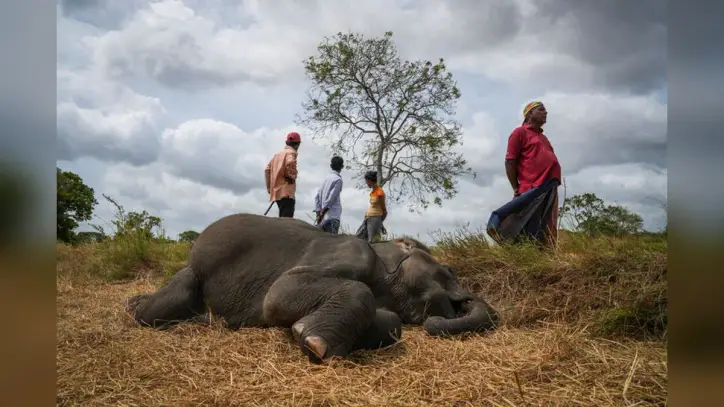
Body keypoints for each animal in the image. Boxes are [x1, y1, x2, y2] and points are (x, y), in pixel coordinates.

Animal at [124, 213, 500, 363]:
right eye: (447, 270)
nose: (459, 303)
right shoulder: (349, 253)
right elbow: (280, 292)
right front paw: (313, 342)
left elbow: (392, 323)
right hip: (193, 275)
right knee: (158, 309)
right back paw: (133, 306)